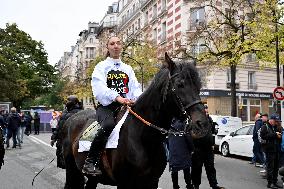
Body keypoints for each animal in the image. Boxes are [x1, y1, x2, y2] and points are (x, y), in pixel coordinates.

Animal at [61, 53, 210, 189]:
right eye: (180, 84)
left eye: (199, 86)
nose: (202, 124)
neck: (144, 138)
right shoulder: (124, 184)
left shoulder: (151, 182)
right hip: (72, 169)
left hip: (92, 178)